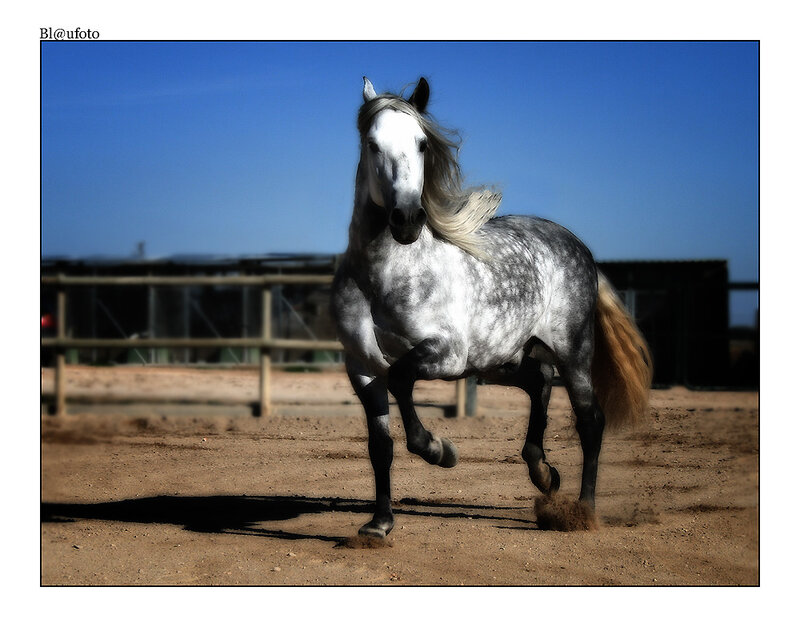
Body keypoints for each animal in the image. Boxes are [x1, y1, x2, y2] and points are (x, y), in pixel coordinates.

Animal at [331, 76, 653, 538]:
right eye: (373, 144)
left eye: (422, 143)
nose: (407, 219)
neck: (383, 277)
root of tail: (580, 247)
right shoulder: (361, 367)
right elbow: (381, 445)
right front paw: (379, 524)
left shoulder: (446, 353)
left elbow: (402, 378)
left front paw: (439, 450)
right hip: (500, 358)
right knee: (539, 380)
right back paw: (543, 473)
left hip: (572, 350)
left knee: (591, 419)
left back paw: (582, 510)